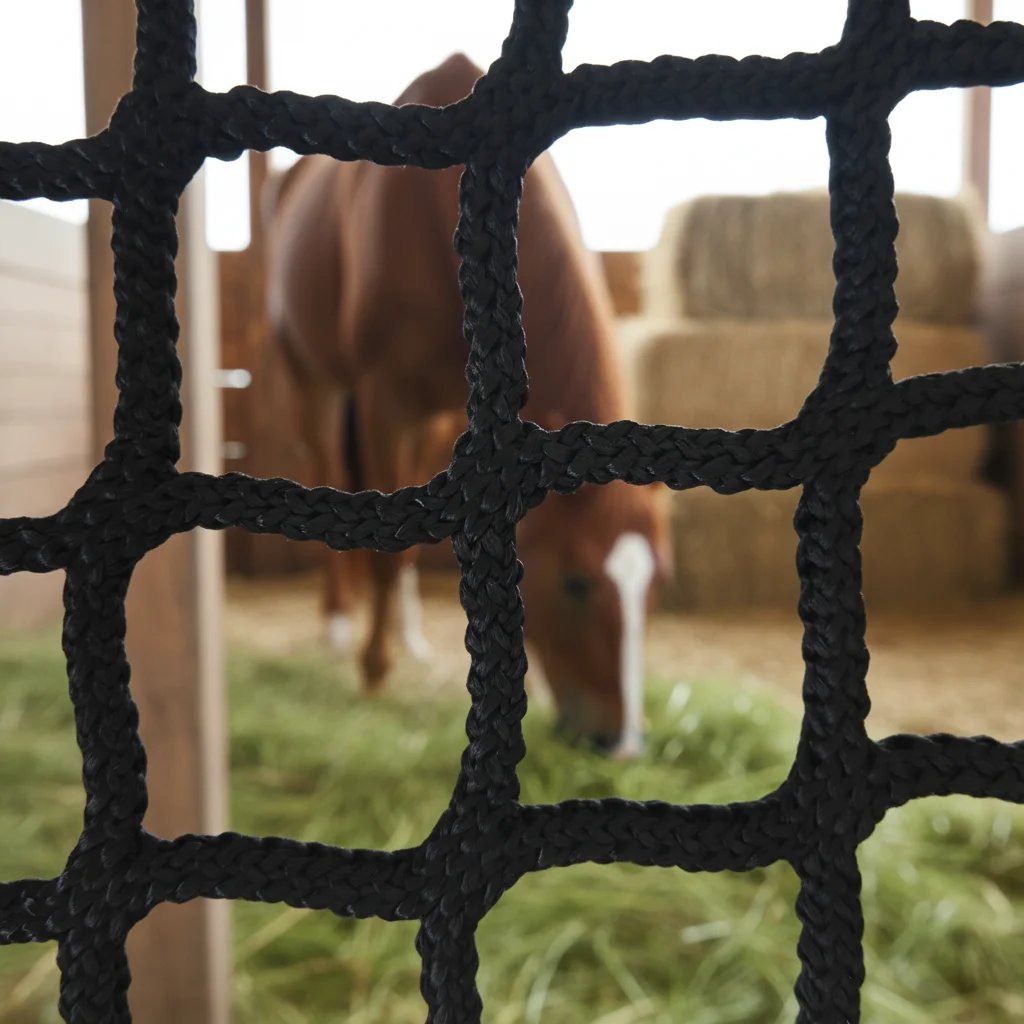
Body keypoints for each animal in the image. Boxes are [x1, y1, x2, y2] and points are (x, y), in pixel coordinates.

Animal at [262, 53, 671, 758]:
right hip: (314, 385)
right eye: (576, 582)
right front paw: (374, 670)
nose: (620, 743)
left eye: (657, 584)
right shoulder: (383, 398)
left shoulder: (452, 413)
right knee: (326, 467)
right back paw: (340, 623)